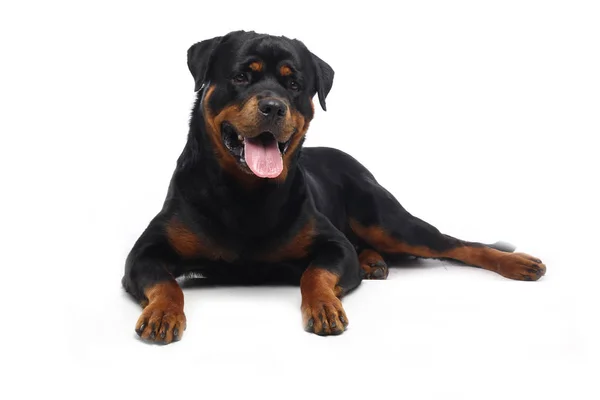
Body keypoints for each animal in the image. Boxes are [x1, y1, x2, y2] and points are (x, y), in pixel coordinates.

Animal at [120, 31, 544, 344]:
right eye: (241, 77)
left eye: (294, 84)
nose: (274, 106)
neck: (246, 193)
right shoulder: (144, 253)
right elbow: (164, 281)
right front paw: (162, 313)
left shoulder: (333, 245)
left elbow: (317, 272)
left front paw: (324, 306)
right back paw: (373, 261)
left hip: (386, 219)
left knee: (454, 243)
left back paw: (516, 262)